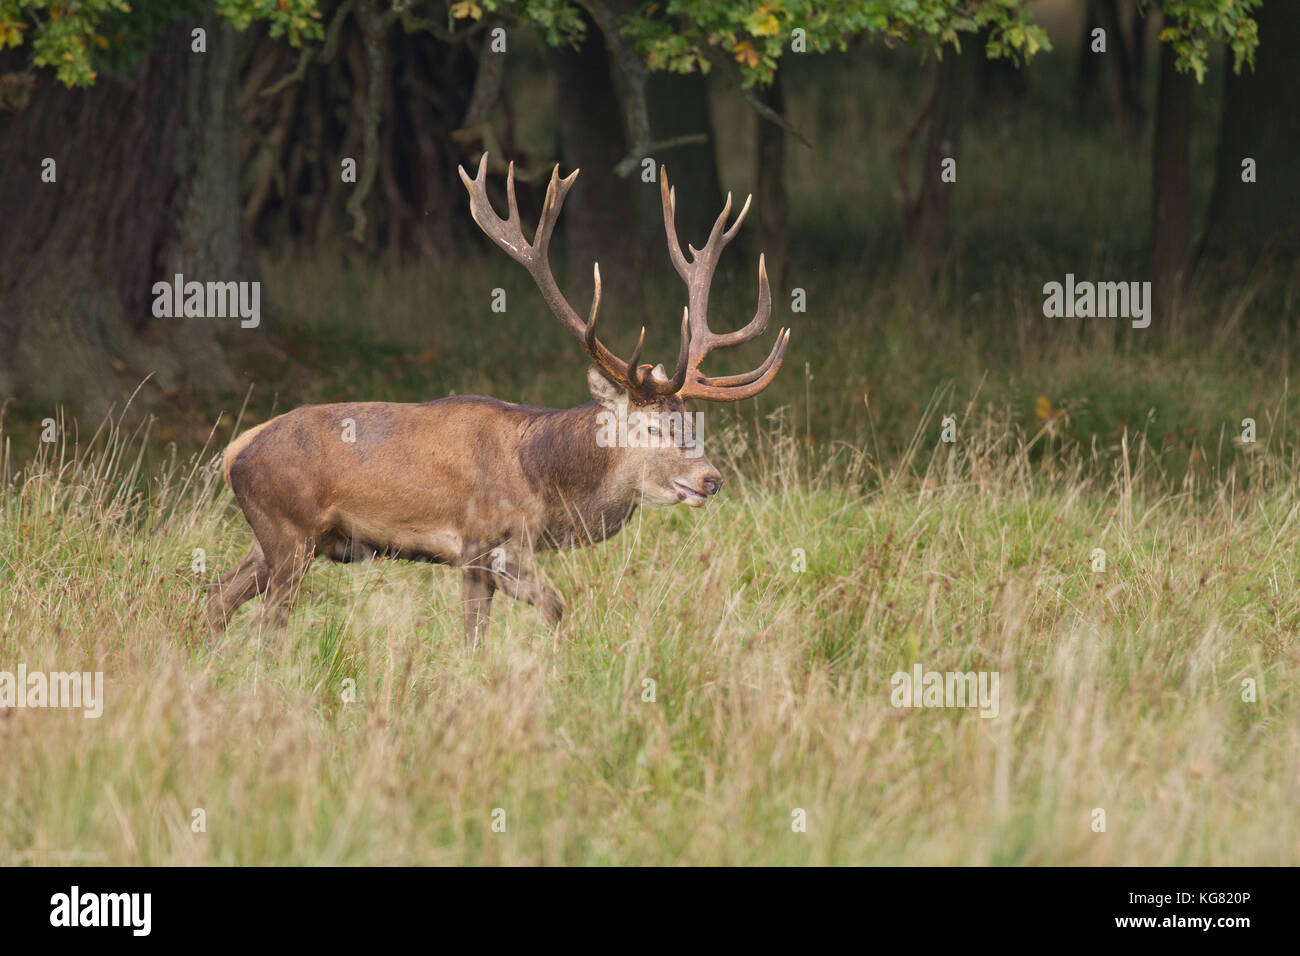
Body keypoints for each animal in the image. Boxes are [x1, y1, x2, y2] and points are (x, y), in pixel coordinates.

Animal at [208, 153, 785, 647]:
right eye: (652, 427)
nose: (711, 479)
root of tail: (235, 451)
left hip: (274, 541)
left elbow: (527, 617)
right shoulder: (478, 544)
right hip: (288, 531)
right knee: (267, 625)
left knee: (216, 598)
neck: (543, 482)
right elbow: (514, 621)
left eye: (691, 420)